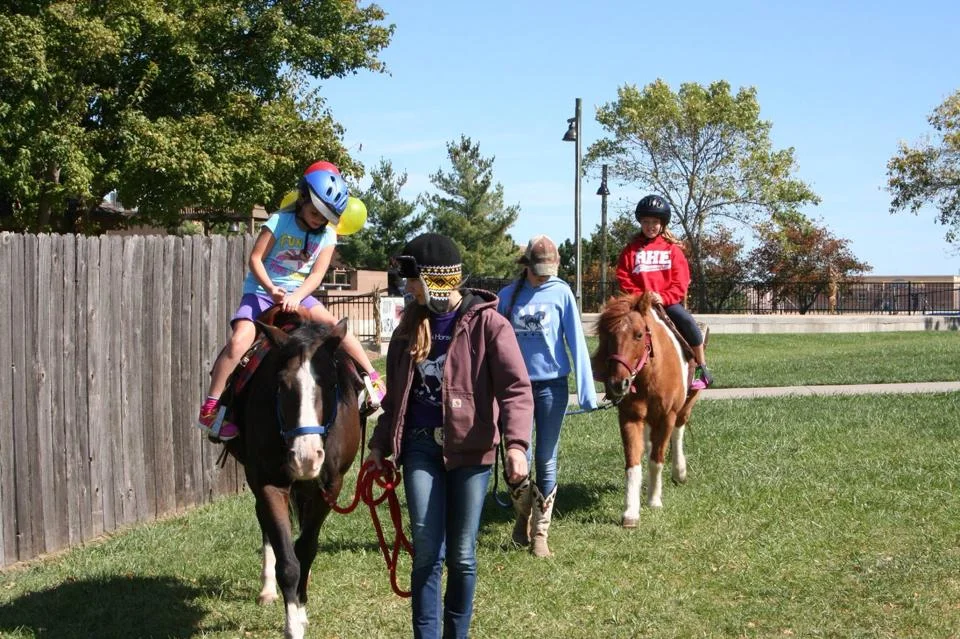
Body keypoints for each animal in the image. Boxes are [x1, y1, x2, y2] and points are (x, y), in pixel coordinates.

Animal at [224, 314, 362, 639]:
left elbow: (306, 549)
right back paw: (267, 590)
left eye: (331, 383)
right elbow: (288, 563)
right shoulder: (268, 483)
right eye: (282, 384)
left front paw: (301, 606)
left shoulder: (330, 487)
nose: (306, 456)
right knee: (265, 525)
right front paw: (293, 624)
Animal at [591, 292, 703, 528]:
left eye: (639, 334)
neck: (650, 375)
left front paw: (654, 500)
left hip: (686, 405)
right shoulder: (629, 417)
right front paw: (631, 512)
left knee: (678, 432)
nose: (618, 383)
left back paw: (679, 472)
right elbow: (633, 463)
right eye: (607, 336)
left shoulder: (667, 416)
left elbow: (656, 460)